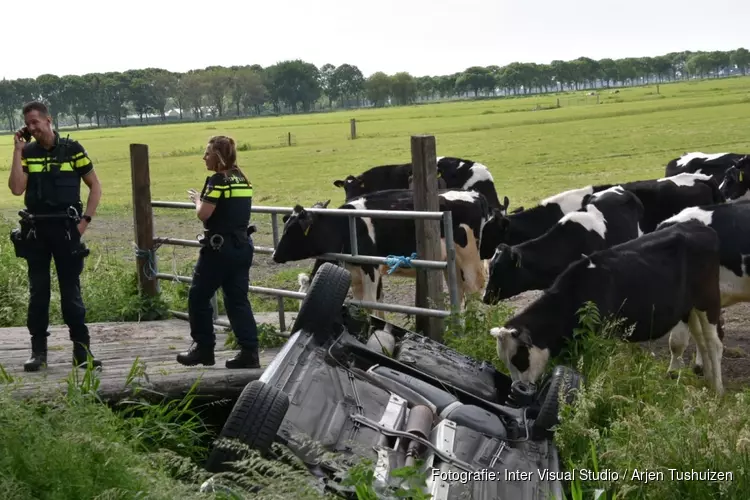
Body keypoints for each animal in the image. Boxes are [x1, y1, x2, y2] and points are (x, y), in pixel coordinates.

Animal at [274, 188, 496, 316]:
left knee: (474, 291)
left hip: (469, 259)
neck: (345, 226)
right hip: (451, 264)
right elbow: (373, 302)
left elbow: (370, 303)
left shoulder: (369, 266)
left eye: (292, 231)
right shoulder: (356, 272)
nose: (275, 255)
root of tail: (475, 195)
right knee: (459, 293)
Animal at [490, 221, 724, 396]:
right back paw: (708, 381)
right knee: (701, 341)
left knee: (713, 343)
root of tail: (701, 227)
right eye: (506, 362)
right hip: (691, 307)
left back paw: (718, 389)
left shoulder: (600, 338)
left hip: (709, 300)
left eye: (519, 360)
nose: (517, 388)